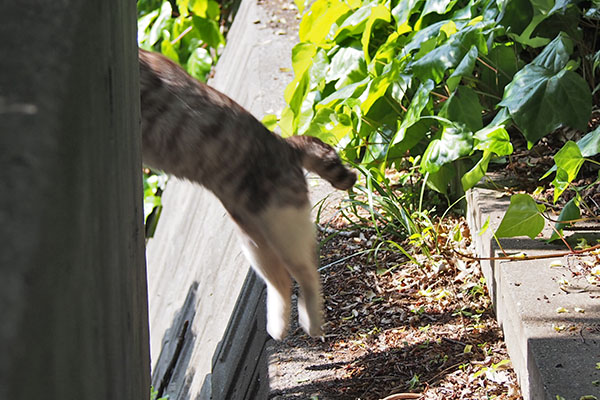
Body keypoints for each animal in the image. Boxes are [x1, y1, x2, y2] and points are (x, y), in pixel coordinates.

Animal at [139, 48, 356, 340]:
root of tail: (285, 144)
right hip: (253, 240)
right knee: (281, 280)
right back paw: (277, 327)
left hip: (281, 224)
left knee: (307, 271)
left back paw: (311, 323)